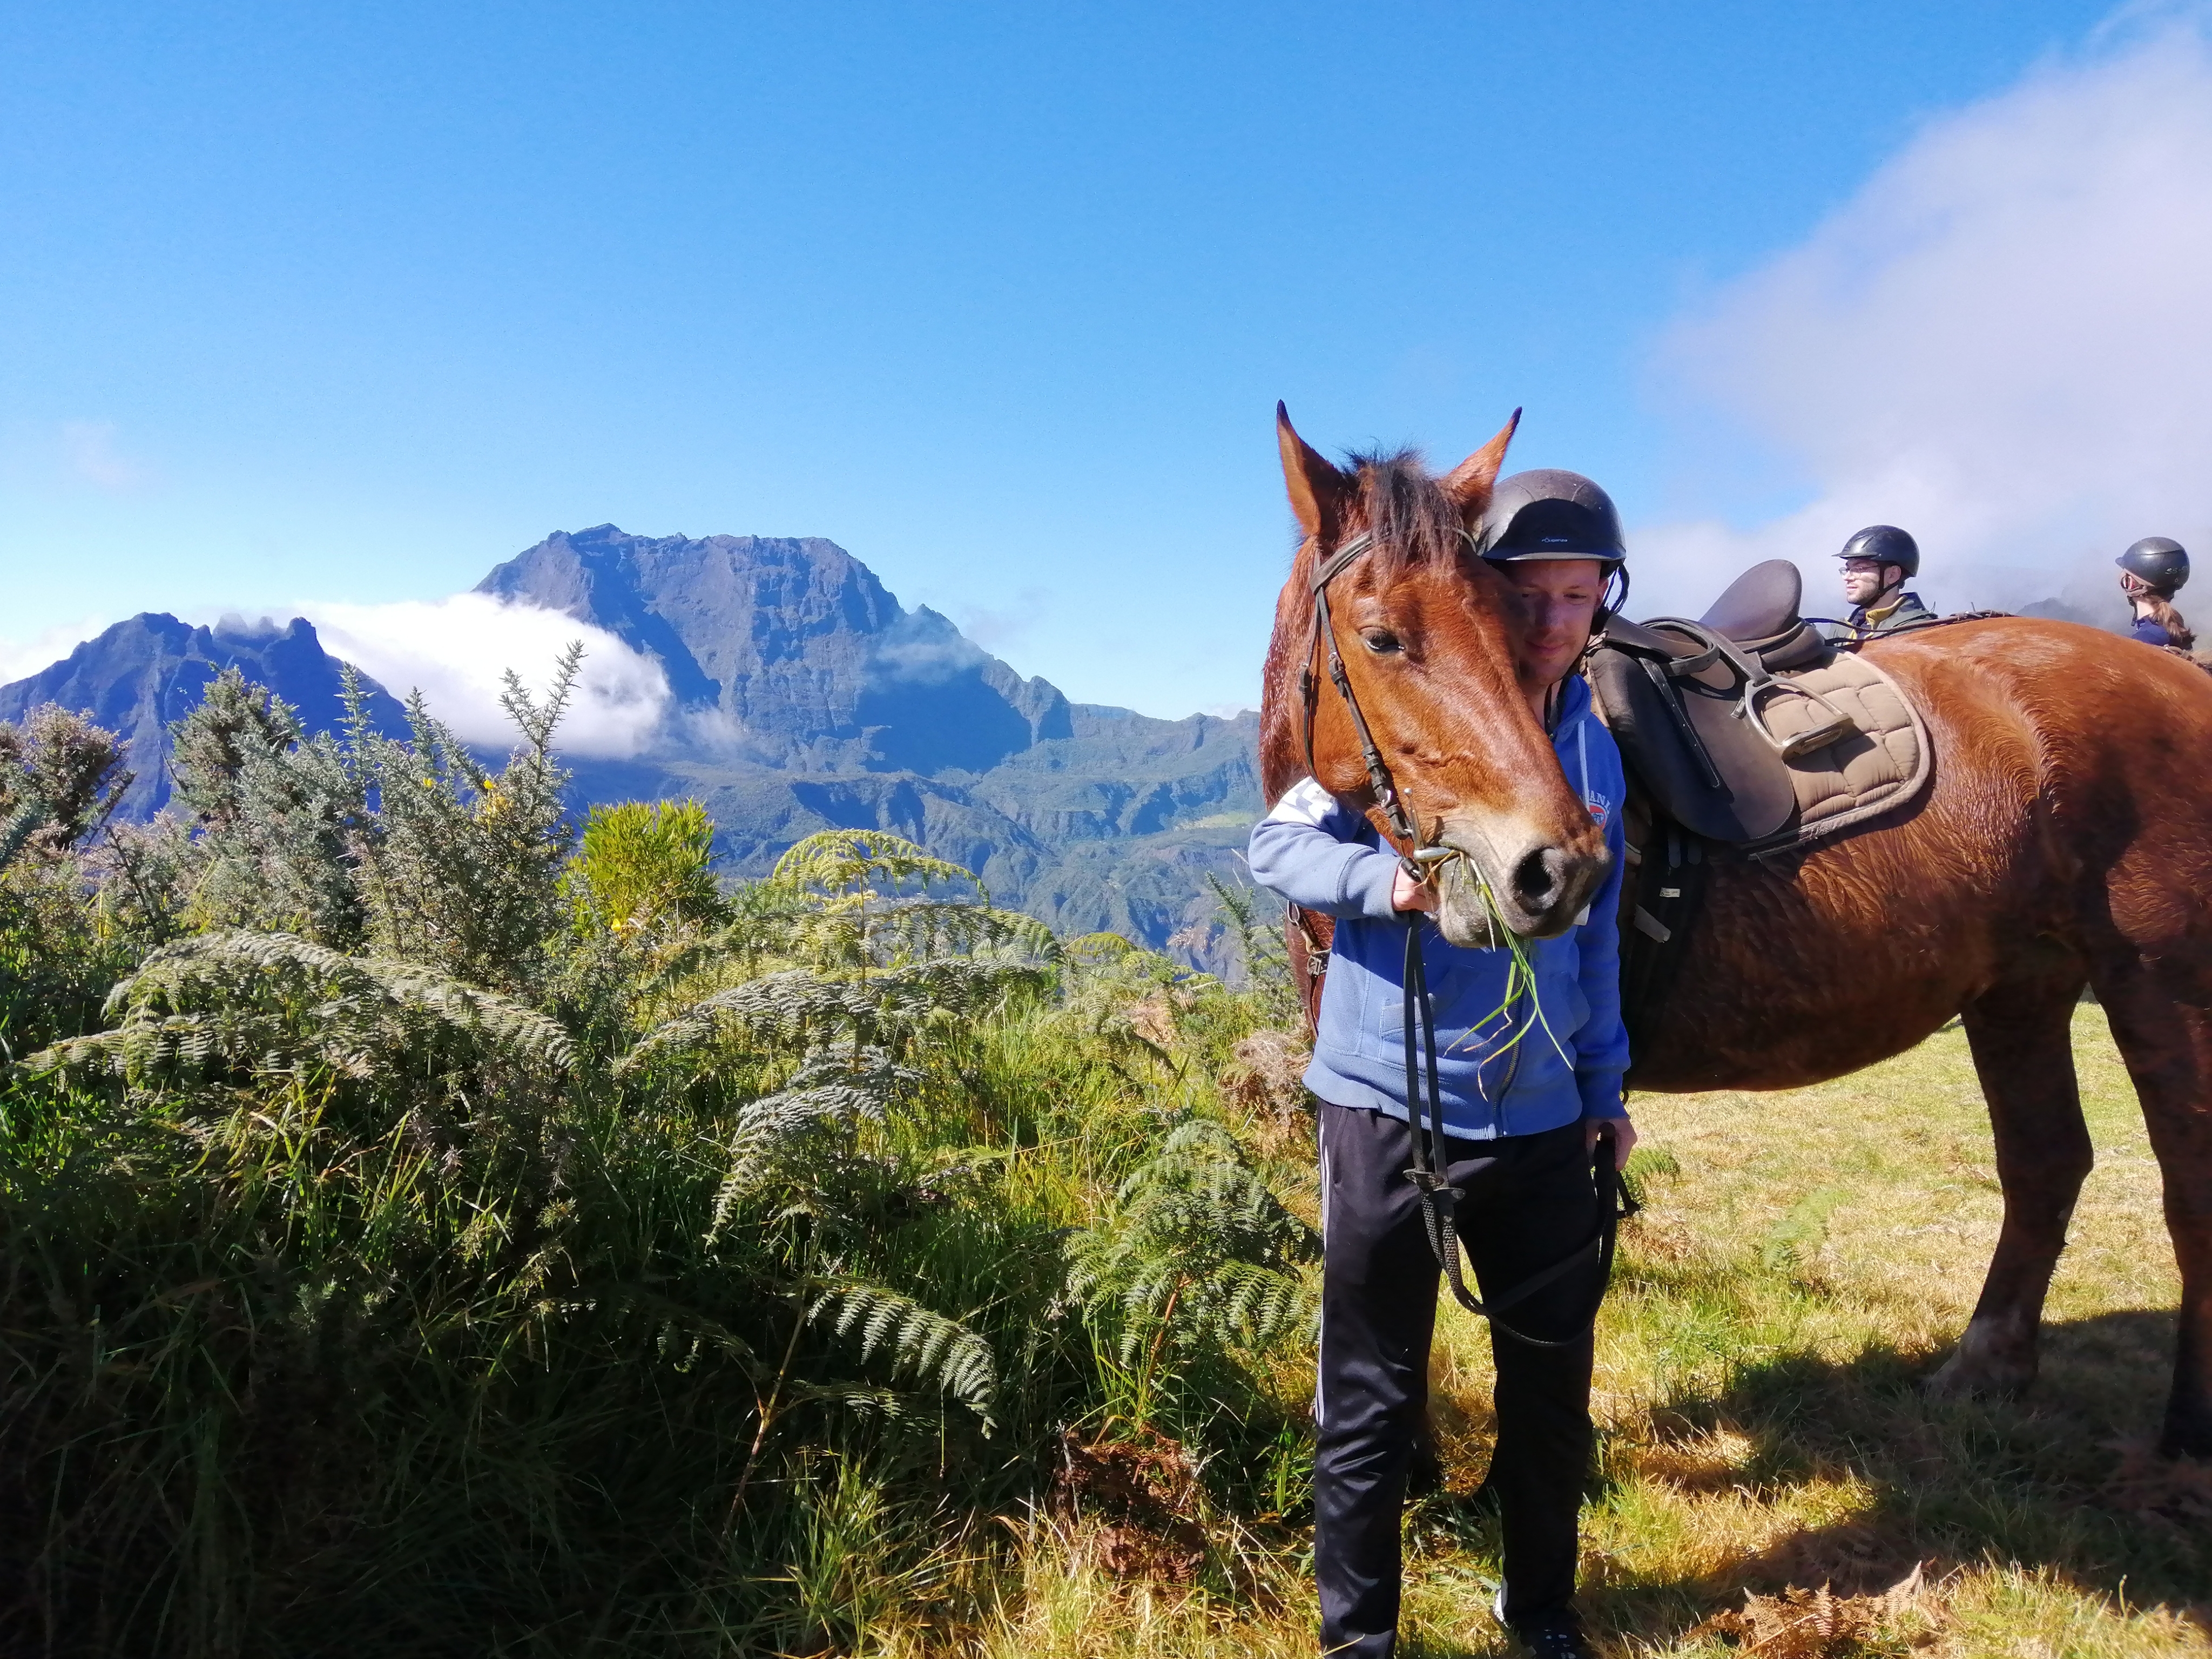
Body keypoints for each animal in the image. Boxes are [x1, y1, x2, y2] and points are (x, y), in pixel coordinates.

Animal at [1259, 405, 2212, 1460]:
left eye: (1518, 628)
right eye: (1382, 637)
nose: (1556, 869)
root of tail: (2181, 678)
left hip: (2161, 981)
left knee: (2186, 1188)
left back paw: (2185, 1440)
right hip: (2023, 989)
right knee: (2045, 1162)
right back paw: (1982, 1372)